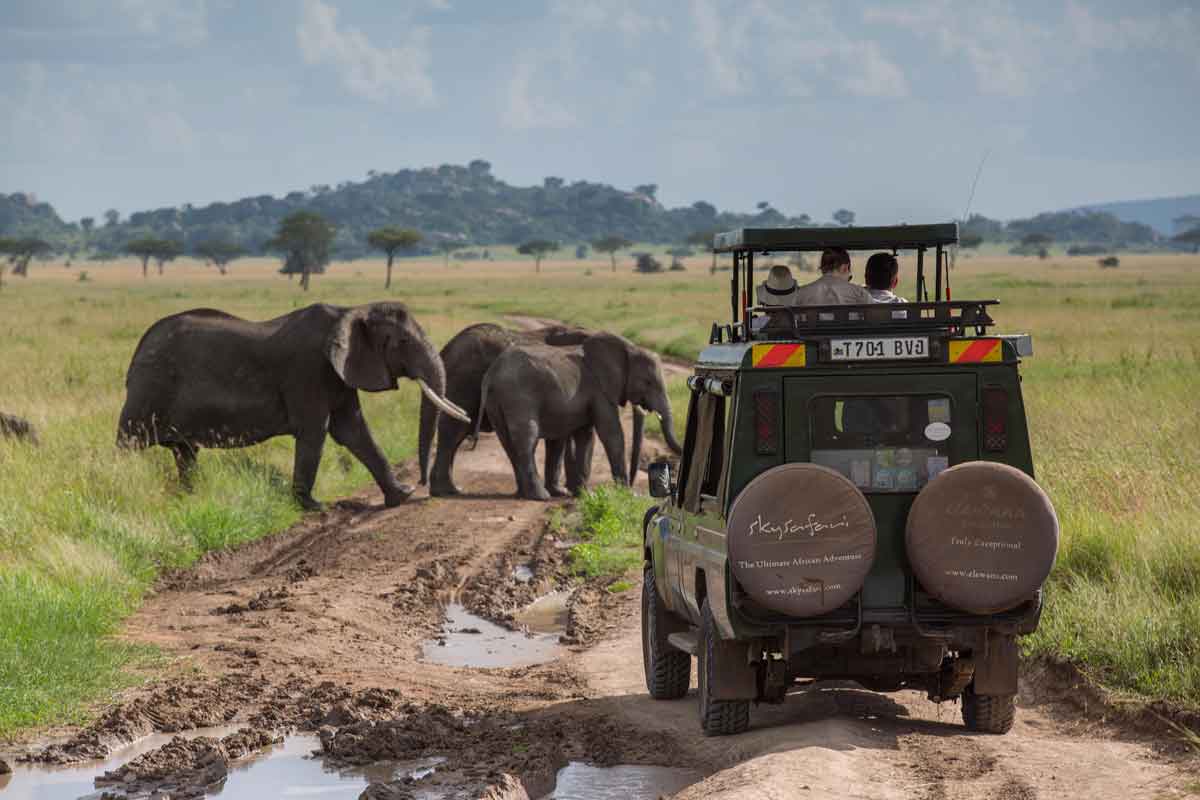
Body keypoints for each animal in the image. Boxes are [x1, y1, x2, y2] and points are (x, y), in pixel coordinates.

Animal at [114, 303, 465, 510]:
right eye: (403, 342)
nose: (421, 485)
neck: (350, 311)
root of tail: (138, 349)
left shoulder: (339, 374)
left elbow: (354, 431)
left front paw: (401, 496)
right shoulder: (308, 370)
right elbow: (316, 432)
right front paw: (312, 507)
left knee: (185, 451)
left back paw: (190, 498)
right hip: (149, 389)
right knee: (130, 444)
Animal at [422, 321, 609, 496]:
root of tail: (447, 350)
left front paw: (563, 491)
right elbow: (563, 437)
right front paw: (564, 492)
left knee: (456, 433)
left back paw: (449, 490)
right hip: (464, 380)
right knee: (454, 431)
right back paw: (446, 491)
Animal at [475, 331, 686, 501]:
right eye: (648, 382)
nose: (633, 487)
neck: (628, 347)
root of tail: (491, 374)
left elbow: (586, 436)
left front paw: (584, 495)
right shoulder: (600, 391)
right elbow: (611, 434)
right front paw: (623, 494)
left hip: (496, 402)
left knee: (509, 445)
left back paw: (525, 494)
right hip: (518, 397)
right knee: (527, 440)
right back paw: (540, 496)